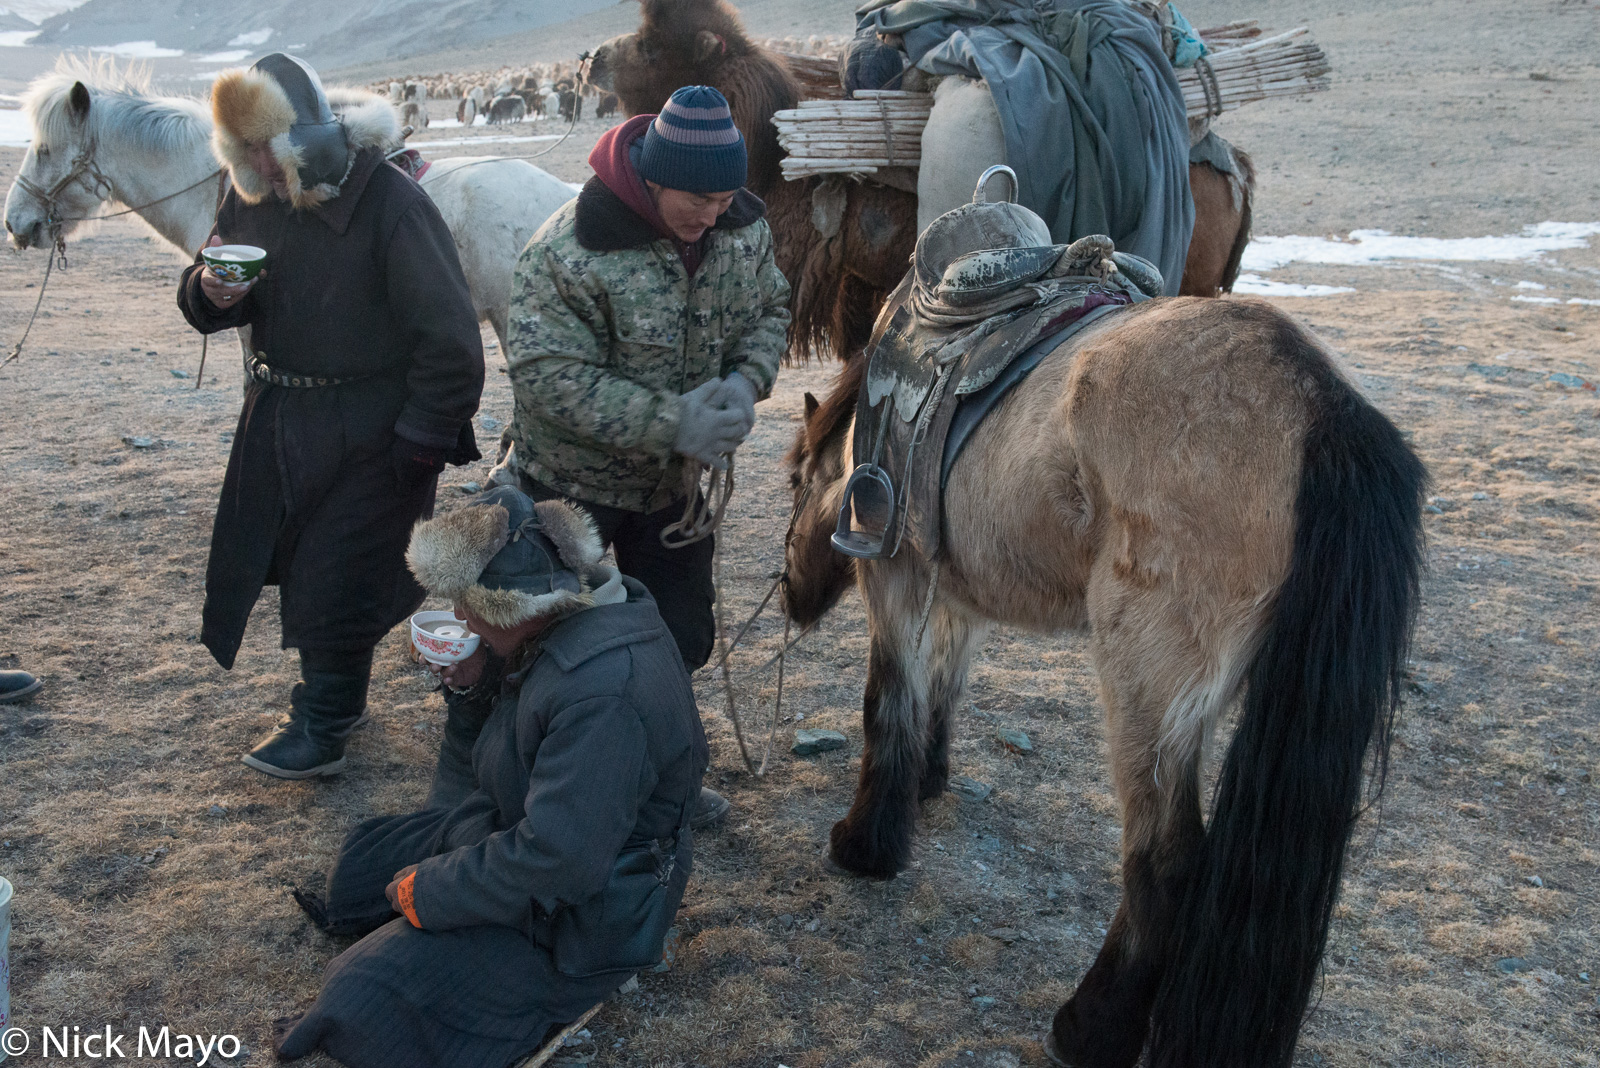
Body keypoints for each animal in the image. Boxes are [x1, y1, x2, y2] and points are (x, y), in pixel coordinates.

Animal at [784, 294, 1427, 1068]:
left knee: (1168, 860)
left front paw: (866, 845)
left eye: (795, 481)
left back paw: (1090, 1028)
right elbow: (943, 686)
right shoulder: (958, 590)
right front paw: (926, 780)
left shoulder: (896, 579)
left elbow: (886, 702)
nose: (788, 596)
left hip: (1145, 685)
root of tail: (1319, 403)